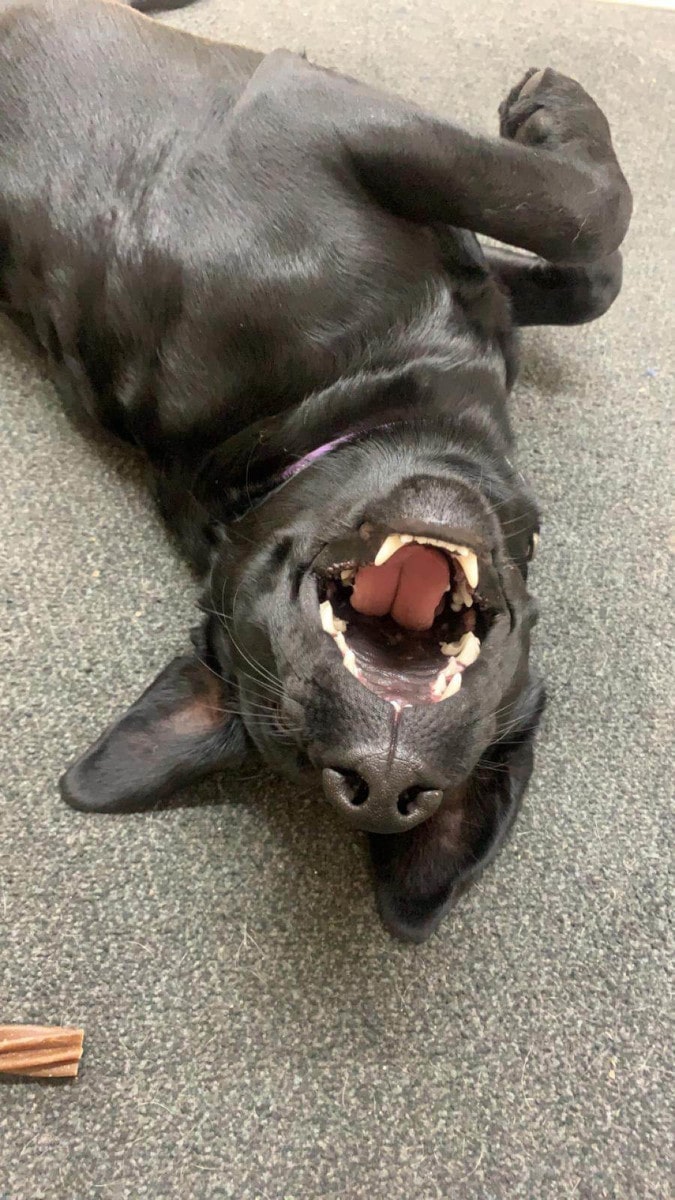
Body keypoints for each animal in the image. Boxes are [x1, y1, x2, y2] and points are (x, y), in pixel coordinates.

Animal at [1, 0, 629, 936]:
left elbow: (583, 275)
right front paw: (551, 109)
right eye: (296, 739)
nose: (381, 781)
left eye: (426, 793)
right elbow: (576, 208)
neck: (324, 410)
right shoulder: (310, 113)